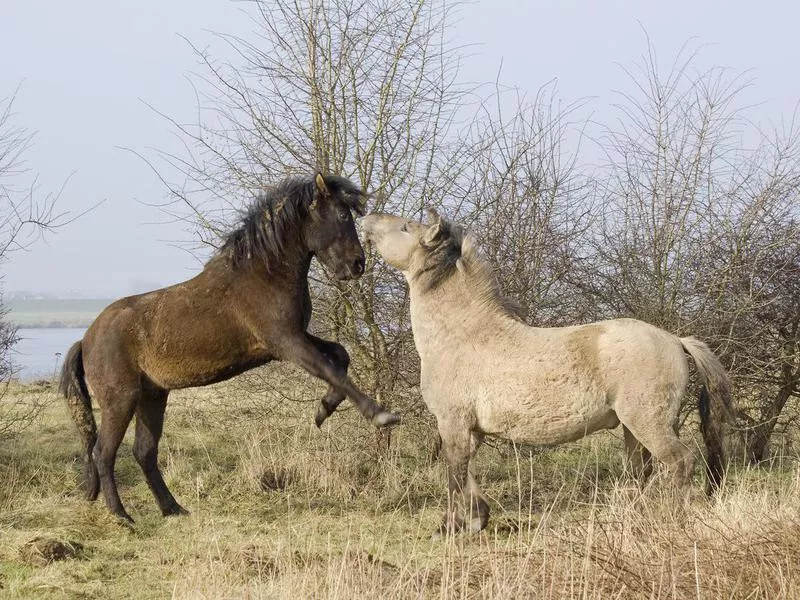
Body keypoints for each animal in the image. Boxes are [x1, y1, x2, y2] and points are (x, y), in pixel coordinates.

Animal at [60, 172, 400, 520]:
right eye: (342, 215)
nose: (357, 265)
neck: (265, 274)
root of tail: (85, 339)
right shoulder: (286, 343)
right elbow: (332, 371)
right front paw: (381, 416)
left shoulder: (293, 339)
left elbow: (340, 356)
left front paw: (323, 410)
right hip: (121, 400)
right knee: (103, 453)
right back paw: (122, 516)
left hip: (152, 396)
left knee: (144, 452)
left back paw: (173, 509)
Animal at [360, 211, 736, 536]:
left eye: (406, 227)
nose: (366, 218)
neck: (463, 336)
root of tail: (675, 339)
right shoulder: (471, 430)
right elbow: (465, 473)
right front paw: (477, 518)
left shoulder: (453, 423)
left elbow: (454, 474)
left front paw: (451, 526)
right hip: (633, 428)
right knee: (641, 472)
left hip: (649, 423)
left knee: (680, 462)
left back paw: (674, 520)